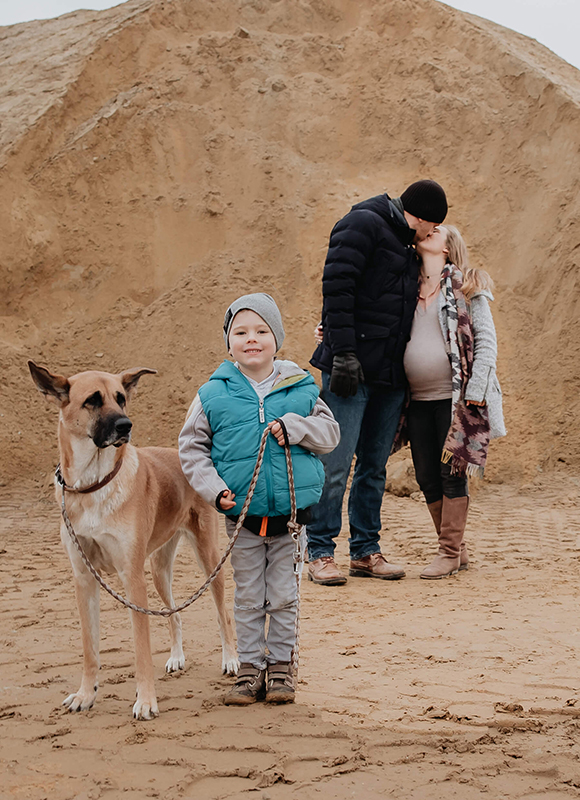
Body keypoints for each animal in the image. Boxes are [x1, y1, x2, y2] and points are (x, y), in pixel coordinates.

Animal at [28, 360, 238, 720]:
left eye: (121, 398)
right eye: (92, 400)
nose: (126, 426)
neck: (93, 485)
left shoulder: (132, 578)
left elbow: (142, 649)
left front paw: (146, 700)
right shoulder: (84, 579)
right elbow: (90, 649)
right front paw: (85, 695)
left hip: (209, 561)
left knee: (223, 614)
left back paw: (231, 659)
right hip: (158, 571)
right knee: (173, 614)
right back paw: (177, 657)